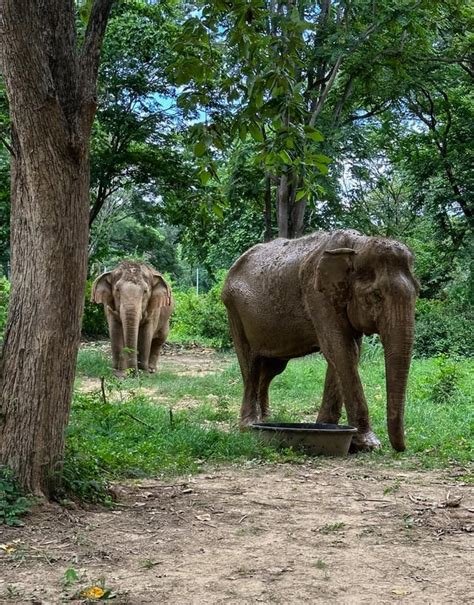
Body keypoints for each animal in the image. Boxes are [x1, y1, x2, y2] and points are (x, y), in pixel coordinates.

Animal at [222, 229, 418, 450]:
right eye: (376, 295)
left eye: (417, 293)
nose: (402, 448)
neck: (357, 245)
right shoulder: (317, 295)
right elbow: (340, 349)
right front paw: (368, 444)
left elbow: (349, 352)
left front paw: (326, 427)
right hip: (234, 309)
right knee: (251, 364)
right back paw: (248, 426)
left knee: (271, 368)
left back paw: (264, 421)